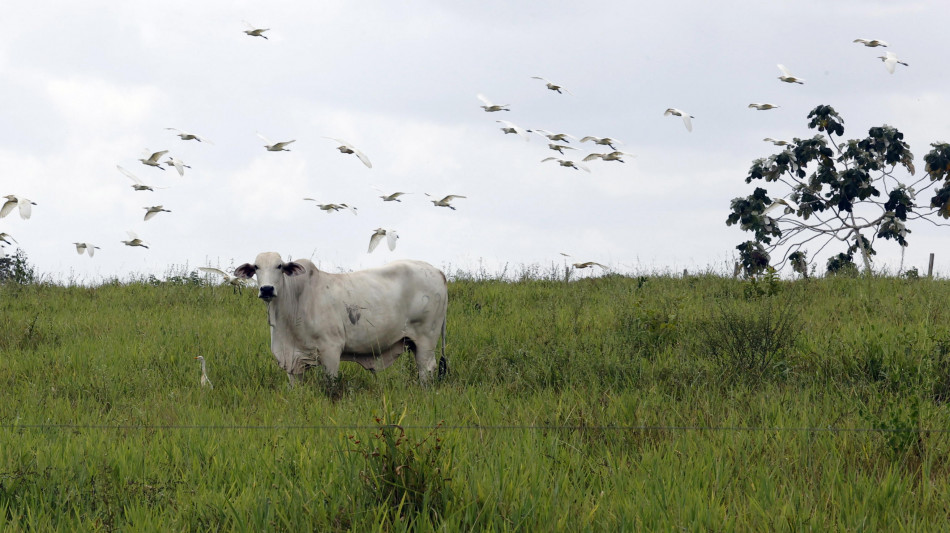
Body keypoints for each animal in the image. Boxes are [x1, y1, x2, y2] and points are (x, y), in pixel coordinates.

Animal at [236, 252, 448, 382]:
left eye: (279, 266)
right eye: (256, 267)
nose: (266, 289)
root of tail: (437, 271)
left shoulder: (331, 350)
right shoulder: (292, 361)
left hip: (426, 339)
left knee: (427, 368)